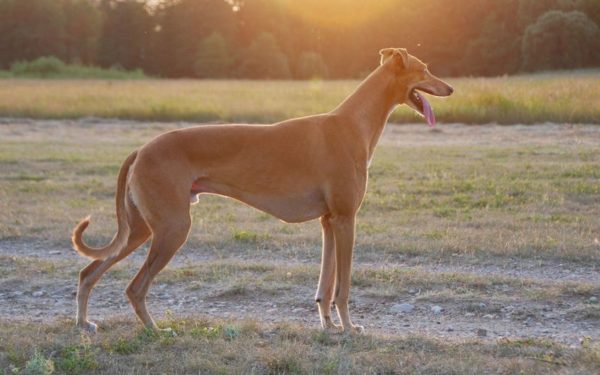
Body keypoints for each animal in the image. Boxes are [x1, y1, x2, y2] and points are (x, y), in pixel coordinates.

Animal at [72, 48, 452, 334]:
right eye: (424, 69)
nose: (450, 88)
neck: (352, 123)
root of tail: (141, 149)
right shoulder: (346, 220)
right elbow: (342, 287)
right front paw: (348, 327)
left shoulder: (329, 222)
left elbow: (325, 285)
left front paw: (329, 325)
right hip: (172, 229)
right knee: (134, 287)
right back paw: (155, 329)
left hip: (139, 230)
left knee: (88, 272)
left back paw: (84, 323)